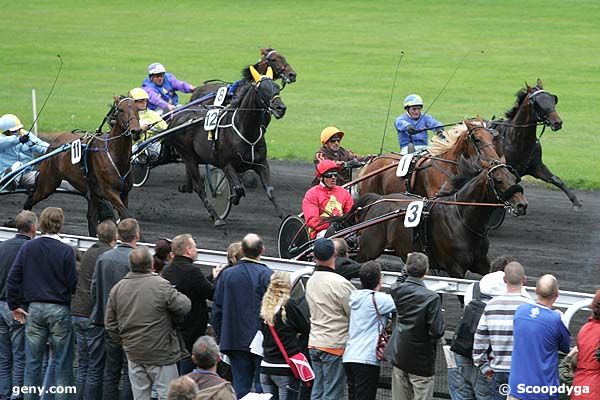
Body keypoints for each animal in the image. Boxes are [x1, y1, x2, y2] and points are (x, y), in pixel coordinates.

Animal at [24, 96, 141, 234]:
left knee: (92, 217)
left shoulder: (124, 193)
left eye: (138, 109)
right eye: (121, 110)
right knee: (30, 200)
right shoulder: (110, 192)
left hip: (90, 191)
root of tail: (54, 142)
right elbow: (128, 216)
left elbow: (124, 217)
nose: (136, 131)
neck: (115, 155)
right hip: (48, 184)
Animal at [164, 67, 286, 227]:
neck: (244, 130)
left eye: (277, 88)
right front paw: (232, 198)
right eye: (263, 89)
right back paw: (216, 217)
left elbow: (270, 190)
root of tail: (176, 118)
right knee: (199, 188)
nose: (281, 108)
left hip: (192, 158)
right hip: (188, 156)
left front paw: (284, 216)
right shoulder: (226, 164)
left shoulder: (261, 163)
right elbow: (239, 189)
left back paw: (186, 187)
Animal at [354, 155, 528, 278]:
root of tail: (378, 199)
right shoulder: (455, 269)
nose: (522, 205)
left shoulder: (481, 262)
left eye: (514, 178)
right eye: (498, 180)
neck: (462, 219)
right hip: (369, 250)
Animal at [490, 78, 580, 209]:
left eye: (553, 99)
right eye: (537, 102)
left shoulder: (537, 166)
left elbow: (556, 179)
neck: (518, 141)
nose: (557, 122)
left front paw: (575, 201)